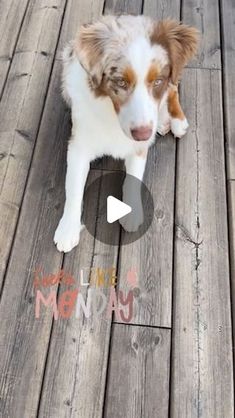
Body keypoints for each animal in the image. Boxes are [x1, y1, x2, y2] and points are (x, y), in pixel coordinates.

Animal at [54, 14, 198, 253]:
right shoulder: (78, 146)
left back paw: (176, 120)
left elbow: (133, 177)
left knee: (174, 88)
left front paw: (130, 212)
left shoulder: (139, 147)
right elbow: (73, 186)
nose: (144, 134)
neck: (113, 116)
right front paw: (68, 229)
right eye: (120, 81)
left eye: (157, 81)